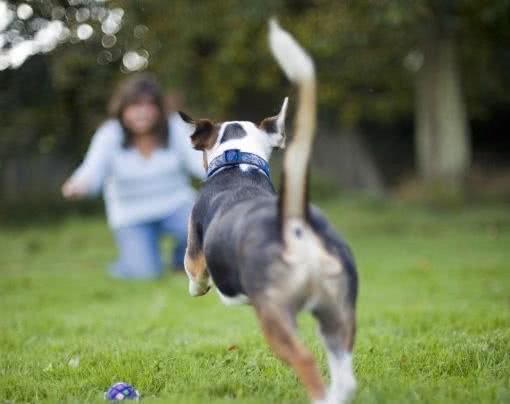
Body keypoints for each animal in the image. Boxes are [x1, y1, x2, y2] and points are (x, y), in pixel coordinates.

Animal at [179, 19, 358, 404]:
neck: (238, 163)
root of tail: (294, 223)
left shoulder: (195, 252)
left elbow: (195, 274)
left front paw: (199, 289)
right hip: (338, 313)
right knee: (344, 373)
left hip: (275, 316)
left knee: (305, 360)